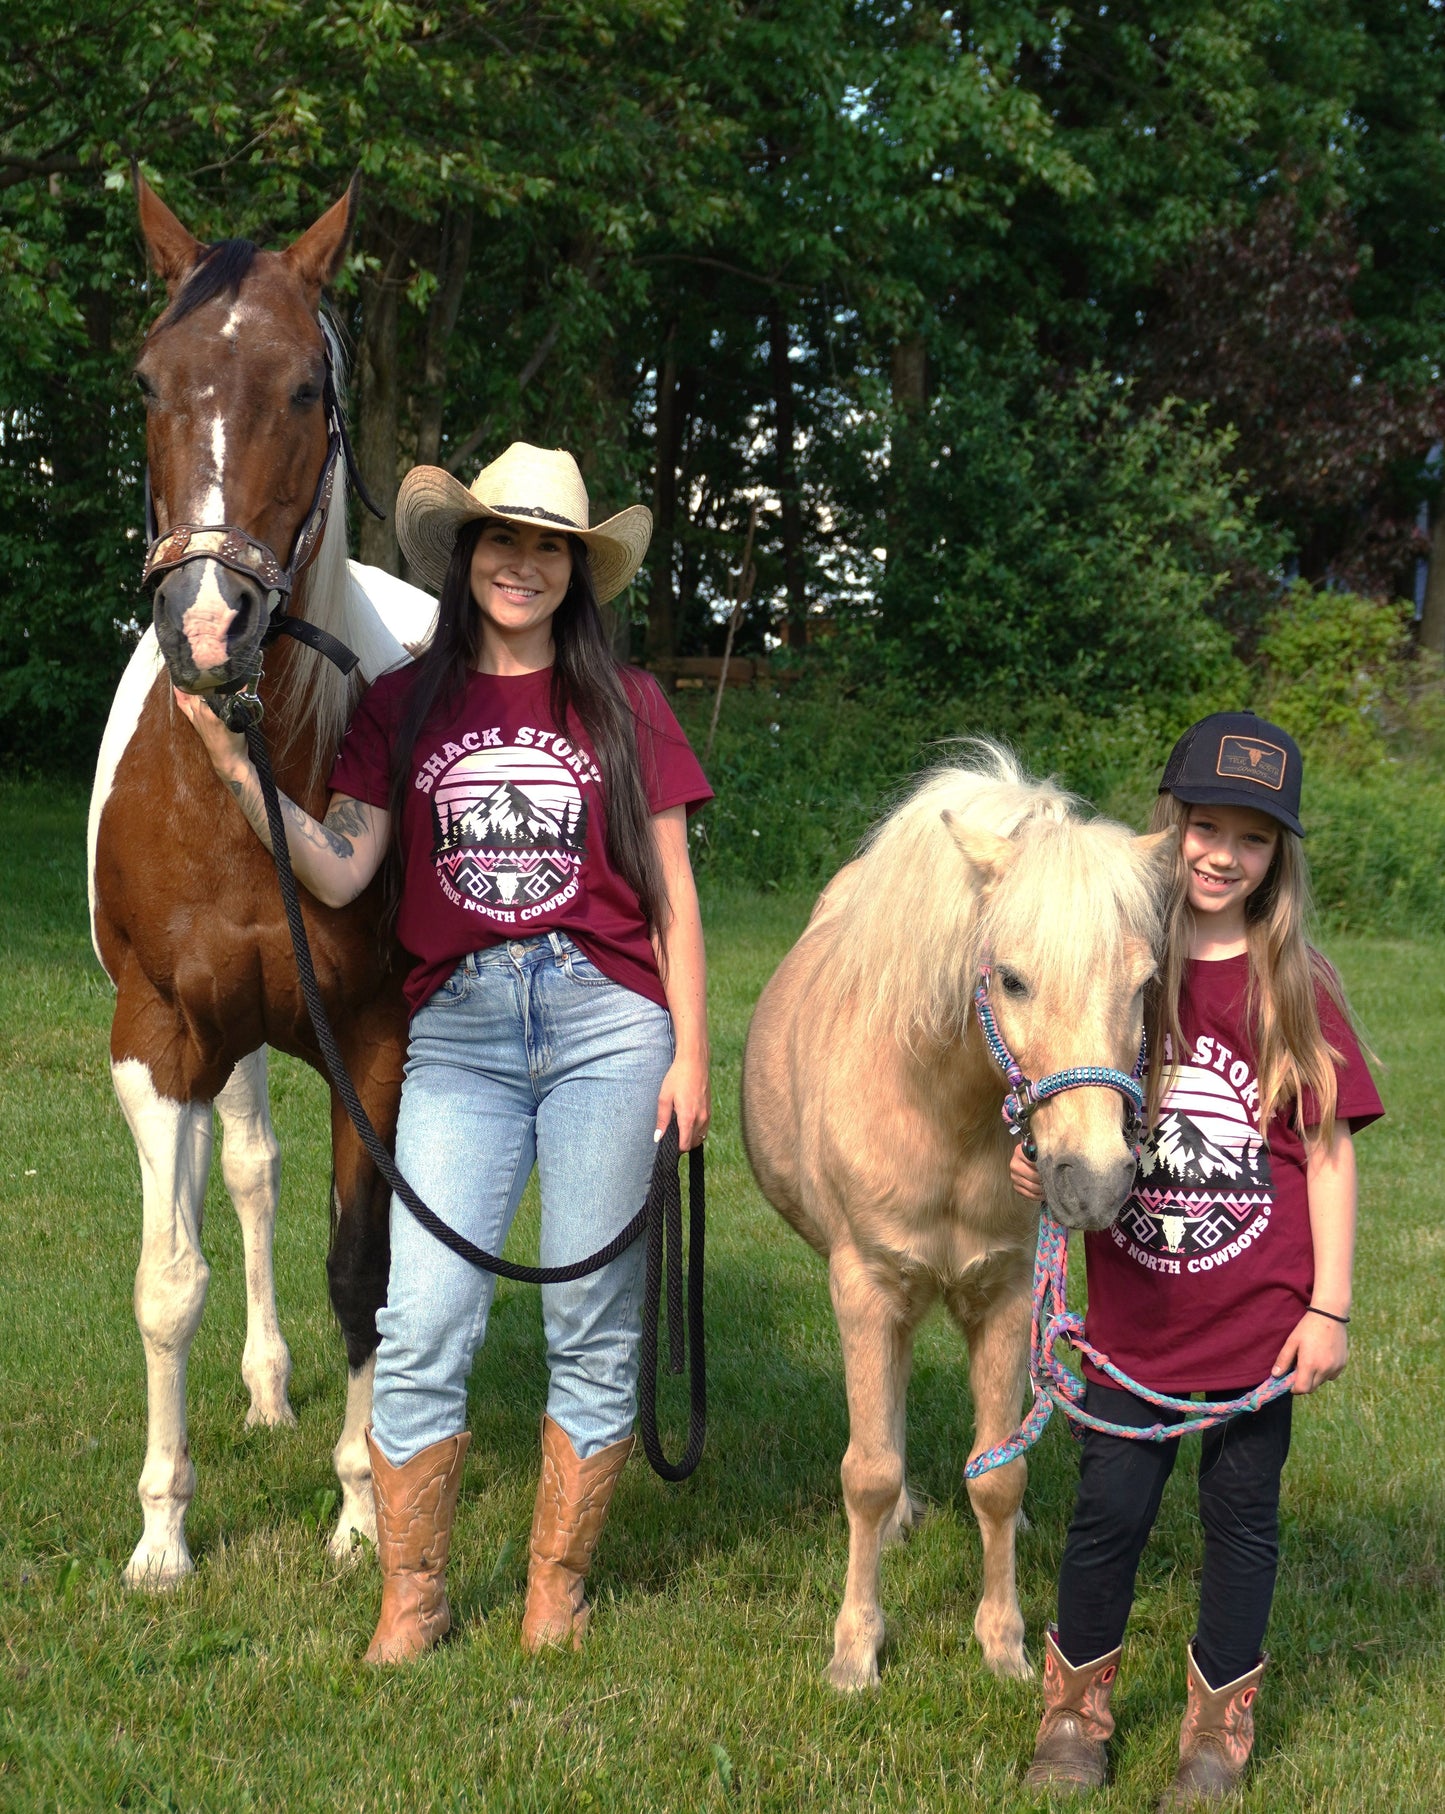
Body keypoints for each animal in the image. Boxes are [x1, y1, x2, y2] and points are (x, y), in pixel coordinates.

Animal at [743, 743, 1174, 1690]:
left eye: (1143, 984)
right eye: (1010, 978)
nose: (1093, 1178)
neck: (942, 1116)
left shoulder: (1007, 1296)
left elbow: (998, 1480)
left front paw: (1003, 1645)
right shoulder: (866, 1287)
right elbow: (868, 1471)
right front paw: (855, 1652)